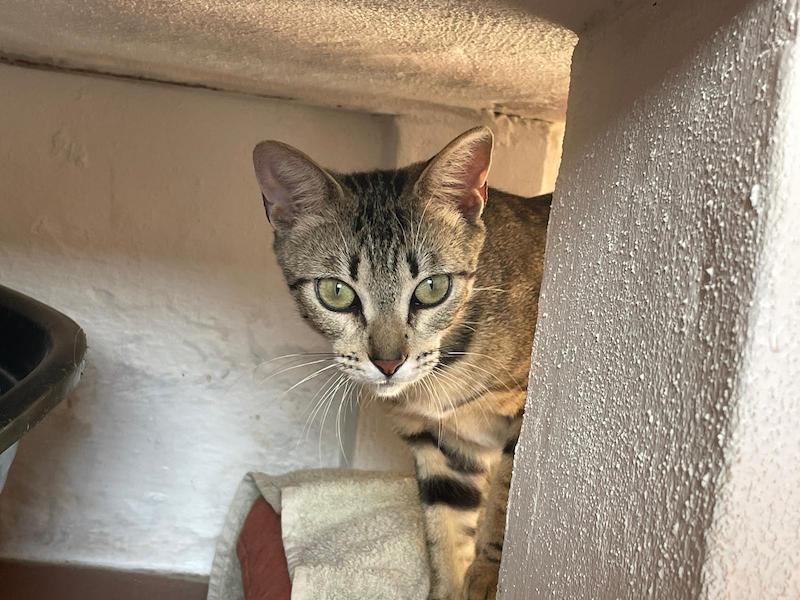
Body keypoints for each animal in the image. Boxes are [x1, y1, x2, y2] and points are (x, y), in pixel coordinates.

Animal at [252, 127, 550, 600]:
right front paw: (449, 589)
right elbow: (444, 531)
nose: (388, 363)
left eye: (433, 287)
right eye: (336, 292)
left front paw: (488, 577)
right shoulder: (439, 446)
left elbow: (507, 500)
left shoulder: (522, 414)